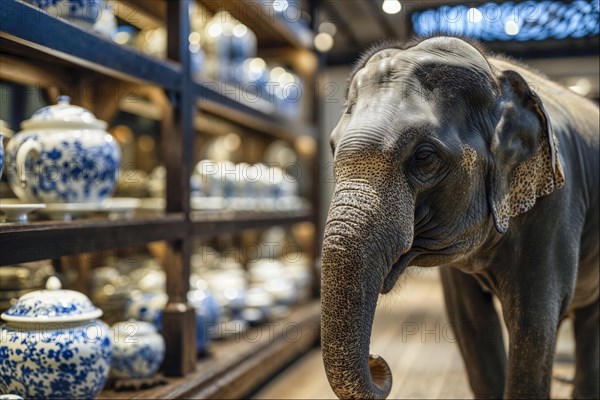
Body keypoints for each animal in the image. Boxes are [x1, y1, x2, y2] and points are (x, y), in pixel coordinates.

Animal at [324, 36, 600, 398]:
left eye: (424, 157)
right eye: (332, 148)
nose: (377, 360)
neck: (497, 75)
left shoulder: (556, 205)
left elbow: (535, 325)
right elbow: (471, 323)